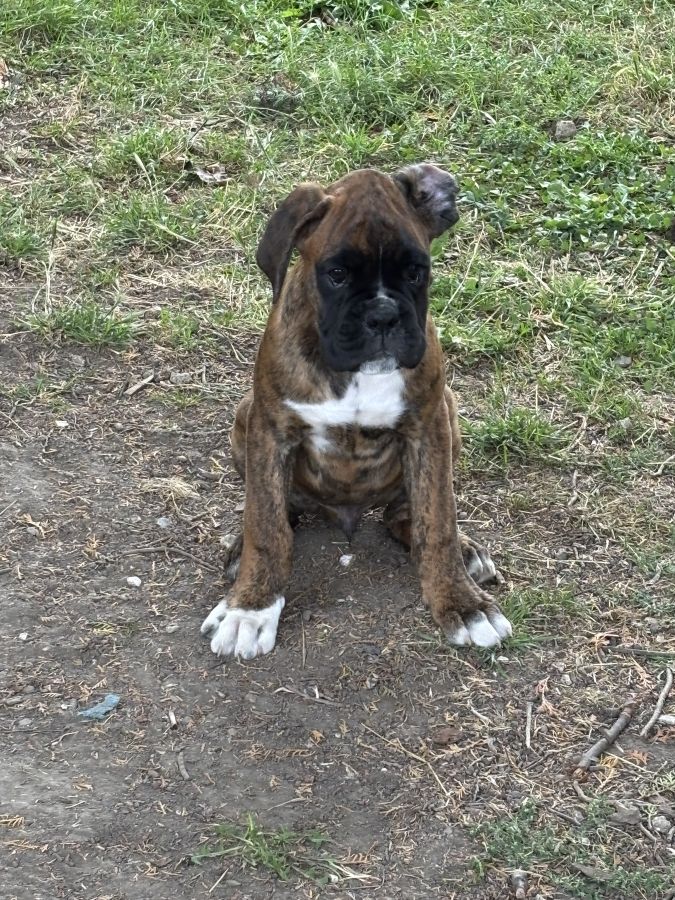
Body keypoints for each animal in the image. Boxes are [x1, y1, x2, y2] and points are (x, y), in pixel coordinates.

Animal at [201, 164, 512, 659]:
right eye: (337, 274)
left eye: (416, 272)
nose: (383, 316)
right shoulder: (271, 429)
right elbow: (266, 524)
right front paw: (251, 608)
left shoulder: (428, 426)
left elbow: (438, 519)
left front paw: (462, 603)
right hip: (244, 416)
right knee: (279, 508)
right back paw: (241, 548)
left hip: (448, 410)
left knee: (404, 513)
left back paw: (463, 552)